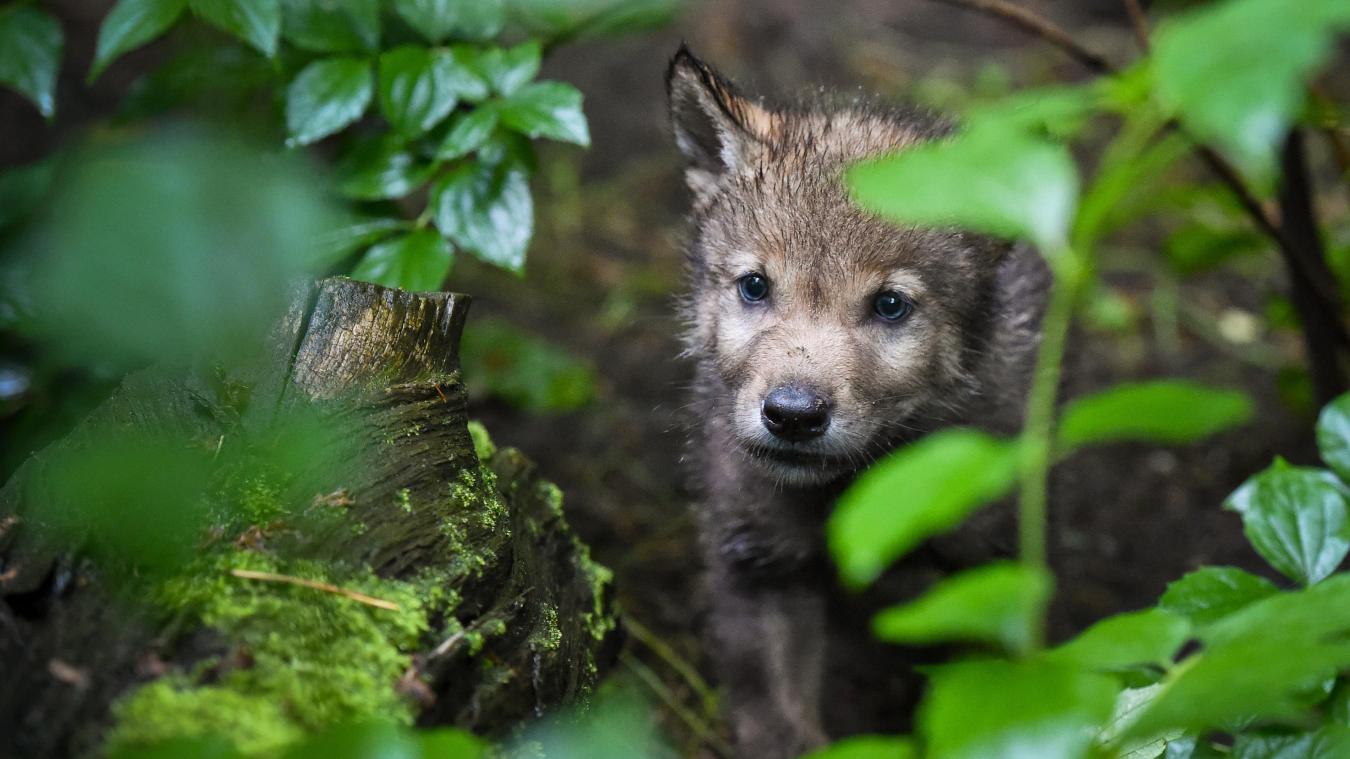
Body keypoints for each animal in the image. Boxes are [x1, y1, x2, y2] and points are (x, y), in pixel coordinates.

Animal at [666, 46, 1051, 756]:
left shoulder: (984, 563)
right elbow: (777, 719)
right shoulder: (757, 558)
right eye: (755, 286)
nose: (793, 415)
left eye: (890, 305)